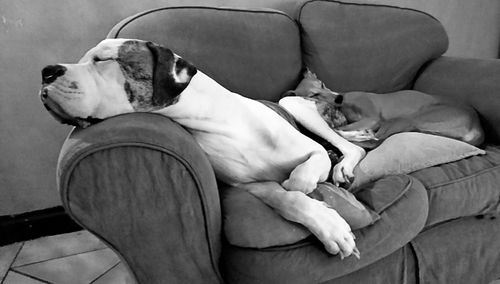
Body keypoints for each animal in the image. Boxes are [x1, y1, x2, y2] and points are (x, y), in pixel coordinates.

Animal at [280, 70, 482, 183]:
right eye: (313, 95)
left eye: (322, 83)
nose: (339, 98)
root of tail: (478, 125)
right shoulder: (369, 120)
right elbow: (341, 130)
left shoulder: (373, 118)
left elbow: (342, 130)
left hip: (409, 119)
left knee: (377, 139)